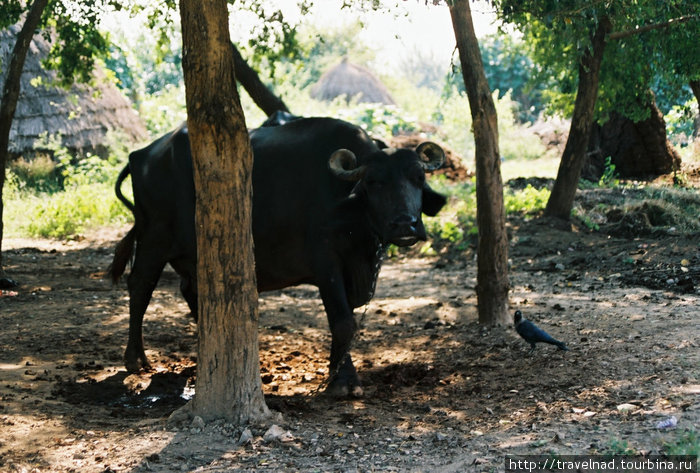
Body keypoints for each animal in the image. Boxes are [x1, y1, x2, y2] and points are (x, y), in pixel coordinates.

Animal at [111, 116, 446, 396]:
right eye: (374, 182)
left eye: (418, 178)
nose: (405, 224)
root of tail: (142, 154)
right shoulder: (326, 262)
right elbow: (343, 321)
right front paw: (344, 382)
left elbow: (347, 322)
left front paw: (337, 372)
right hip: (153, 238)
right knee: (140, 286)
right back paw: (135, 358)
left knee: (193, 292)